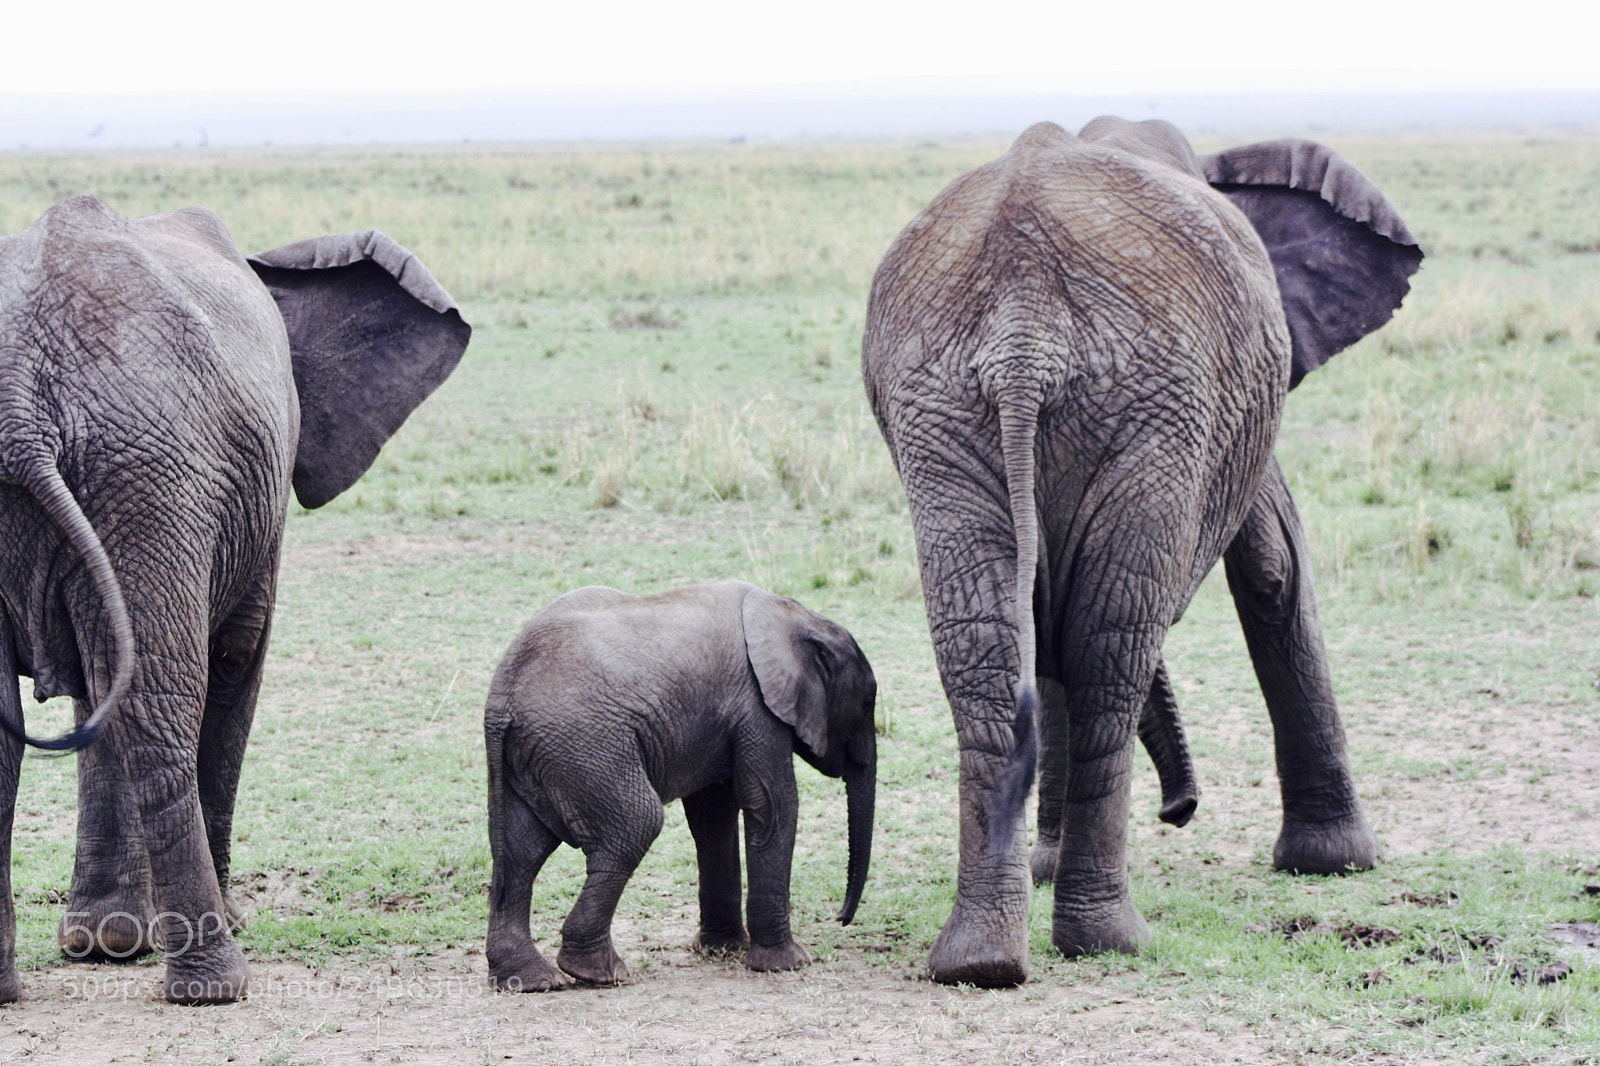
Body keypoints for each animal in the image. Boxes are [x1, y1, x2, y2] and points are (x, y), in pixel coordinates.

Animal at [0, 194, 470, 1003]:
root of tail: (22, 395)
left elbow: (97, 687)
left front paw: (105, 942)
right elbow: (234, 662)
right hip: (153, 471)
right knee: (163, 699)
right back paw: (215, 983)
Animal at [484, 581, 877, 991]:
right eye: (867, 703)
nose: (841, 919)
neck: (799, 617)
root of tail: (501, 696)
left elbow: (714, 816)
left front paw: (724, 949)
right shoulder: (757, 706)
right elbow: (772, 806)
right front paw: (788, 964)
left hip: (539, 753)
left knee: (519, 856)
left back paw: (532, 980)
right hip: (584, 742)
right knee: (637, 824)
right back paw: (599, 972)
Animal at [861, 117, 1422, 987]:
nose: (1180, 810)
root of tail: (1023, 327)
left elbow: (1046, 630)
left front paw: (1043, 864)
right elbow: (1274, 565)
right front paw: (1341, 864)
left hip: (947, 411)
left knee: (995, 645)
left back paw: (981, 961)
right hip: (1151, 407)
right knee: (1107, 646)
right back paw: (1110, 940)